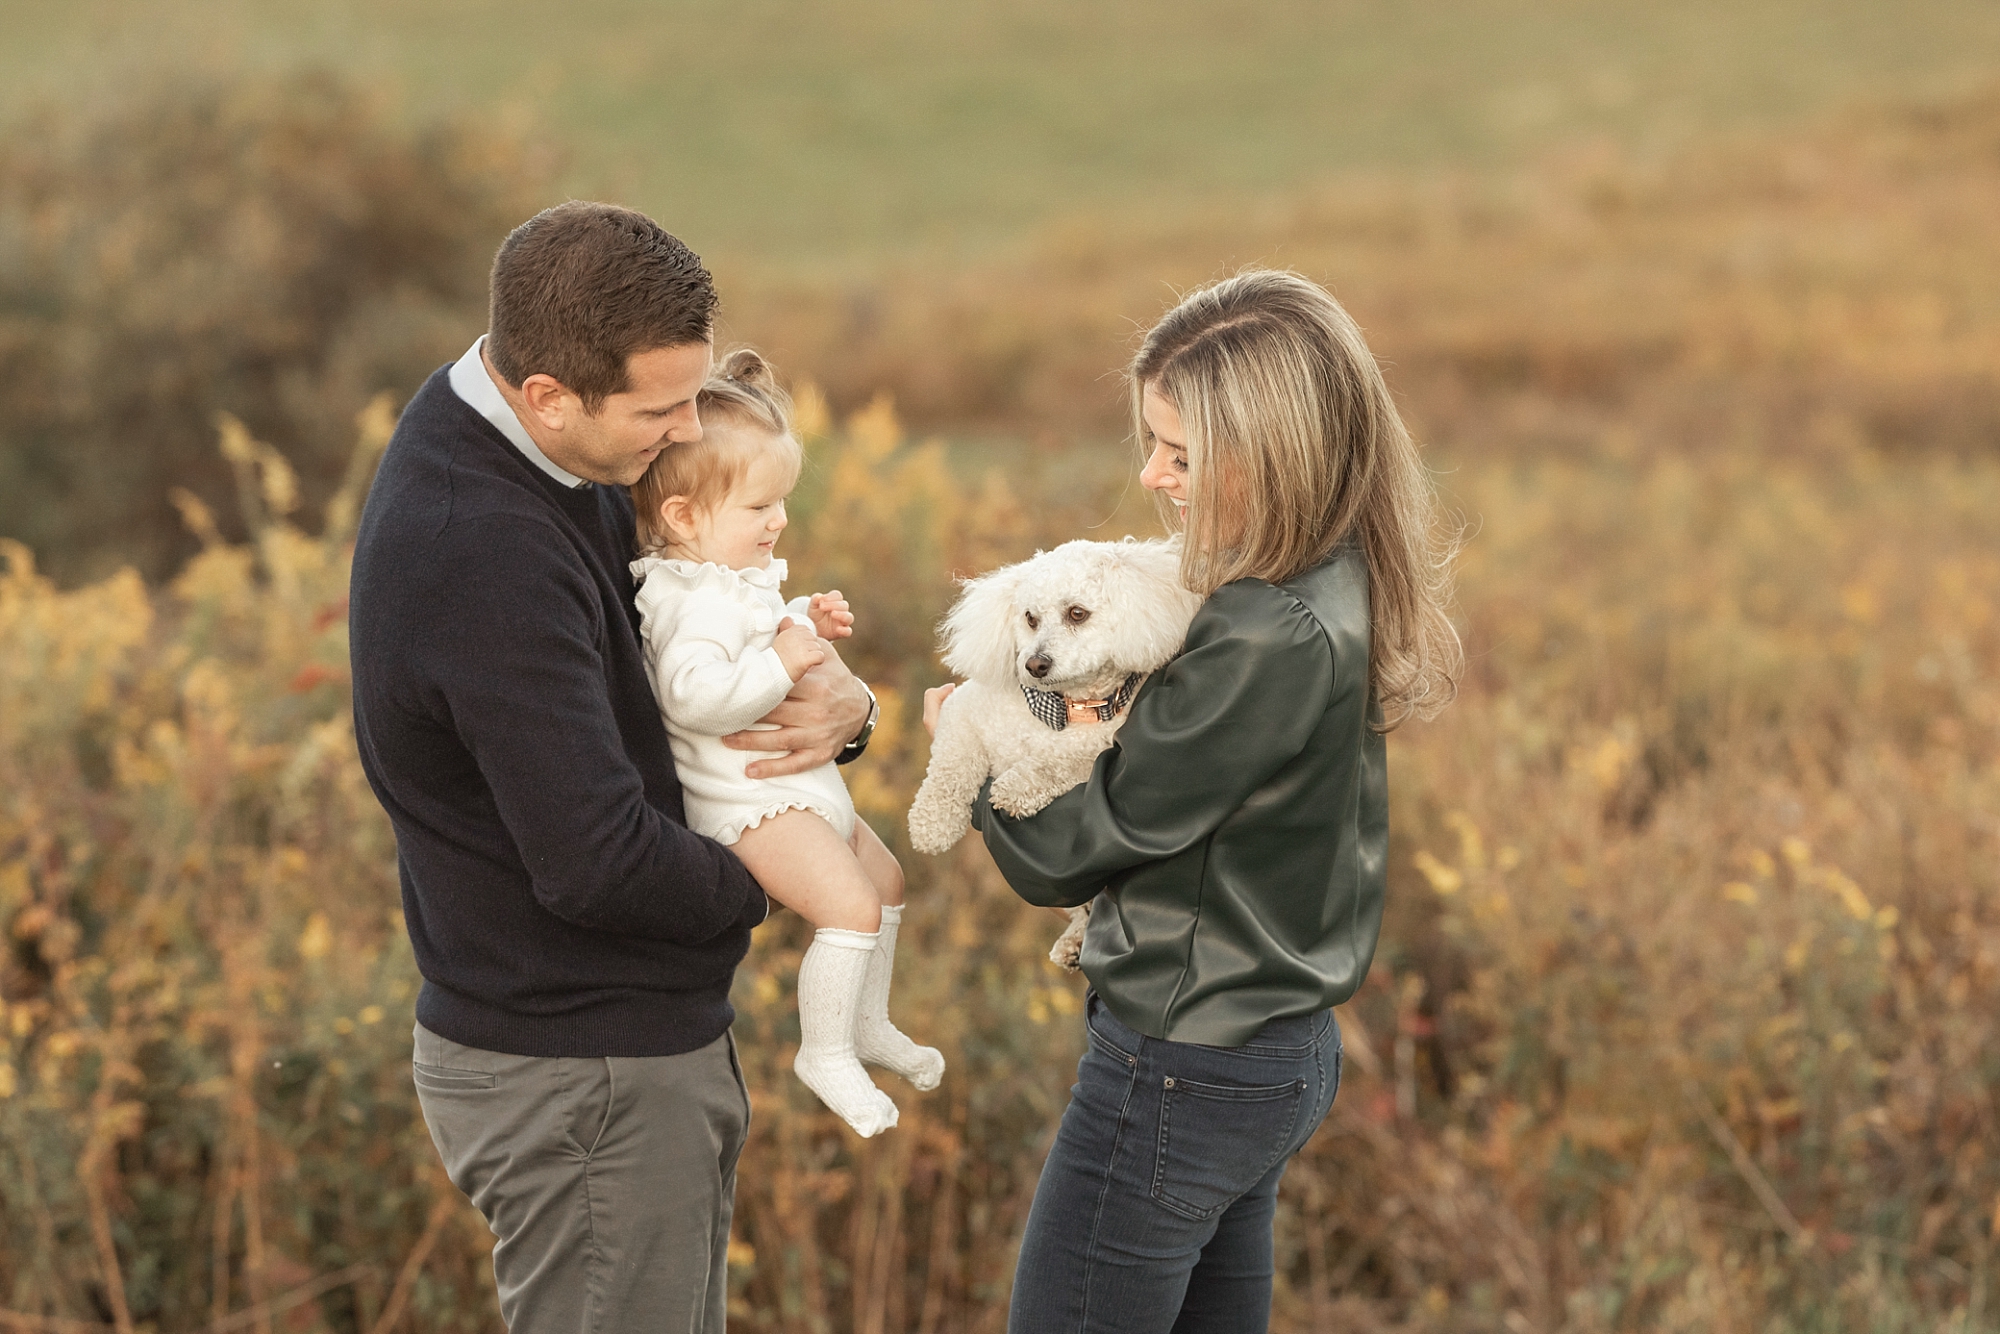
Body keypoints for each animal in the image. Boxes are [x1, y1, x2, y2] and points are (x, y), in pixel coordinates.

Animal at [912, 536, 1200, 964]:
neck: (1065, 707)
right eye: (1030, 618)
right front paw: (931, 825)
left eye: (1077, 613)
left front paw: (1015, 787)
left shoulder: (1104, 748)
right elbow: (950, 765)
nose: (1034, 664)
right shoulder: (962, 711)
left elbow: (1060, 761)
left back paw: (1075, 943)